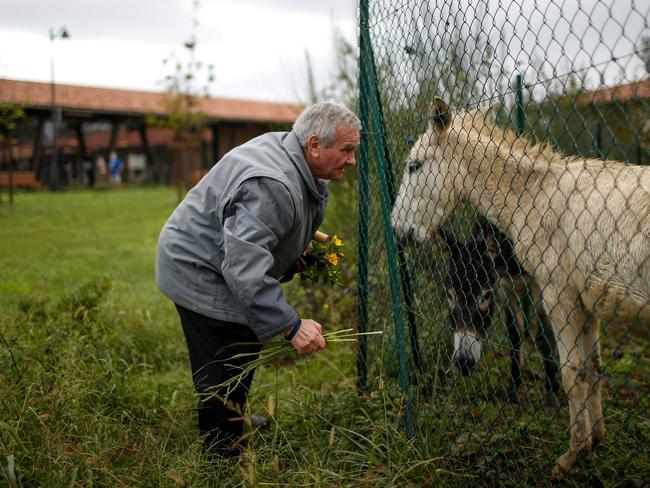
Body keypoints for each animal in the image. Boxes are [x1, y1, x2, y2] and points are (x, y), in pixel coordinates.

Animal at [390, 97, 648, 474]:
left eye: (414, 166)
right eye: (450, 295)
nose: (396, 230)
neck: (533, 195)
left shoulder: (557, 295)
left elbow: (572, 372)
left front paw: (573, 453)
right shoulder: (584, 302)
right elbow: (594, 368)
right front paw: (597, 439)